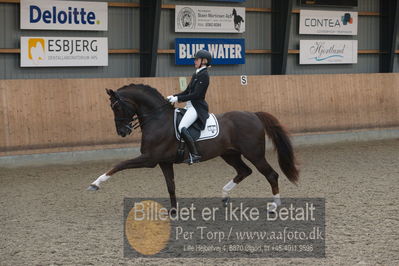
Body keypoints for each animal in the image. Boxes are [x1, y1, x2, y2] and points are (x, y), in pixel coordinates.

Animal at [88, 84, 300, 209]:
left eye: (116, 107)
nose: (122, 132)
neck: (158, 119)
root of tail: (254, 114)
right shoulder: (164, 162)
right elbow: (171, 186)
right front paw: (174, 211)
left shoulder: (149, 159)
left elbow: (119, 165)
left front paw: (95, 184)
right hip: (229, 154)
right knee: (244, 171)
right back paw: (224, 196)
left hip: (254, 153)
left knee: (271, 174)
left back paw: (275, 206)